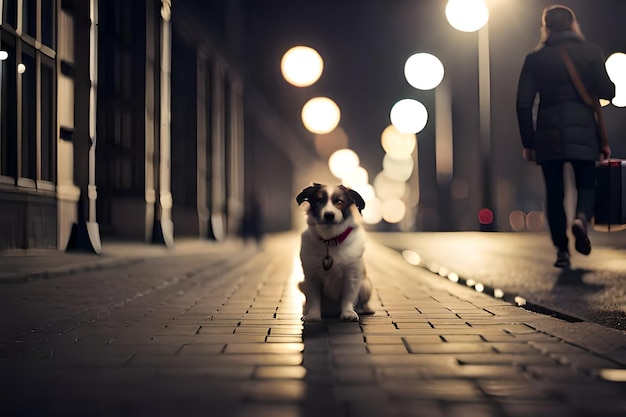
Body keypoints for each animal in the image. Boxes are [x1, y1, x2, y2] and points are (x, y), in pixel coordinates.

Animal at [294, 183, 372, 322]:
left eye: (339, 201)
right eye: (319, 201)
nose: (329, 215)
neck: (330, 242)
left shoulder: (351, 276)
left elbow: (348, 297)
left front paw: (348, 312)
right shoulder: (311, 276)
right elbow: (314, 298)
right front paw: (313, 315)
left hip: (365, 284)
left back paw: (363, 309)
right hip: (302, 284)